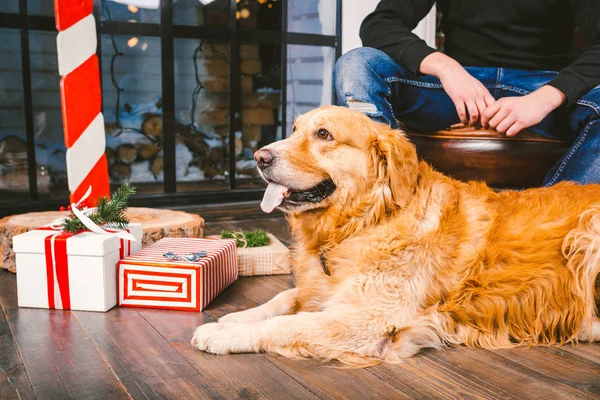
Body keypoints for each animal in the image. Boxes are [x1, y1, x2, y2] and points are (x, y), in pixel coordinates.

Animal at [191, 104, 600, 366]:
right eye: (293, 130)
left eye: (324, 134)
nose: (259, 157)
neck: (364, 222)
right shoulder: (325, 289)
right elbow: (284, 297)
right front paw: (237, 318)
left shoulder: (365, 320)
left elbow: (286, 324)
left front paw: (221, 335)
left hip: (587, 235)